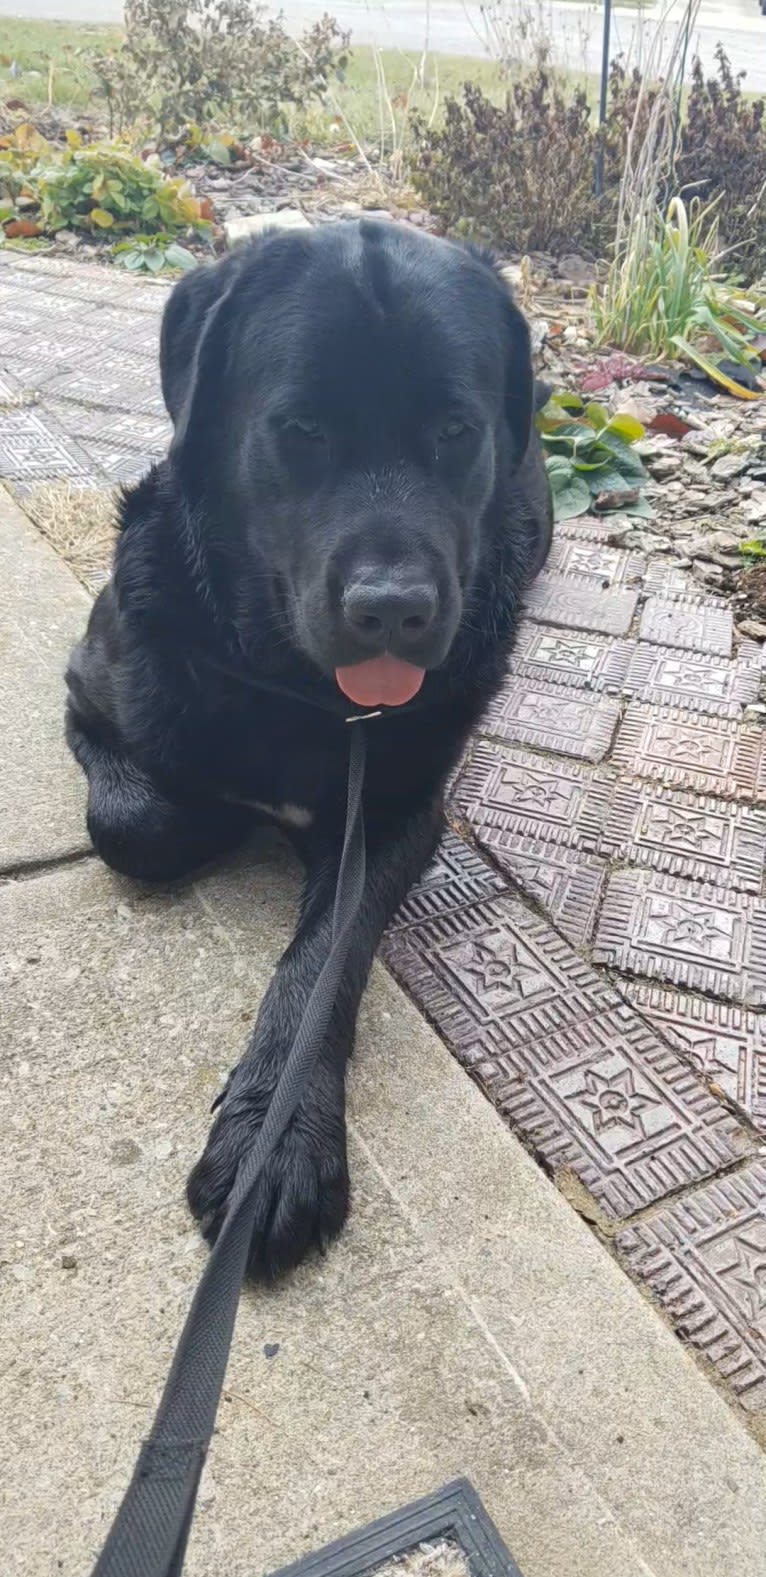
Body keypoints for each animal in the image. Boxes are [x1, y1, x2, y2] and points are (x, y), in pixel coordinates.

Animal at [64, 222, 551, 1280]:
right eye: (302, 429)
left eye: (455, 431)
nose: (393, 608)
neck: (301, 687)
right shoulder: (88, 685)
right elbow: (133, 818)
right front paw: (212, 812)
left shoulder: (403, 811)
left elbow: (327, 952)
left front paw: (275, 1140)